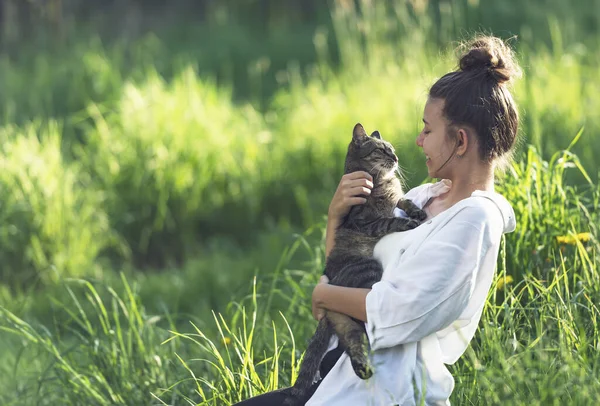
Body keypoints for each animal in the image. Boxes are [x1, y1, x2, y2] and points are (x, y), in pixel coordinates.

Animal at [284, 123, 426, 406]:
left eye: (392, 148)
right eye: (383, 150)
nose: (396, 158)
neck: (381, 180)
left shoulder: (397, 198)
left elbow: (403, 200)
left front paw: (416, 210)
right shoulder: (365, 222)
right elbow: (391, 219)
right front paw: (409, 222)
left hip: (346, 315)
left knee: (351, 339)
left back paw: (362, 368)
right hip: (368, 275)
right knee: (357, 335)